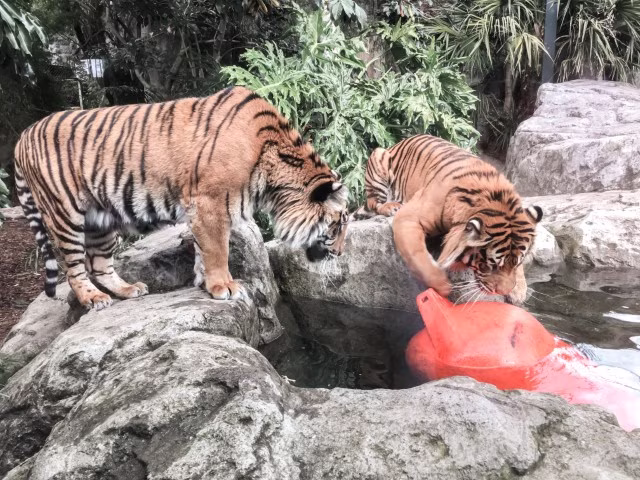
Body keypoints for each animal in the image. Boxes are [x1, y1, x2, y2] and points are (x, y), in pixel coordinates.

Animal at [14, 86, 349, 310]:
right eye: (337, 226)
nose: (340, 254)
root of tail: (22, 135)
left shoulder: (204, 209)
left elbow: (203, 250)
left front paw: (205, 283)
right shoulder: (211, 203)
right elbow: (217, 250)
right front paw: (224, 286)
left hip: (102, 219)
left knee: (99, 264)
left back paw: (128, 290)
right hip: (66, 215)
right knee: (73, 268)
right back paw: (94, 298)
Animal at [360, 134, 542, 305]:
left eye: (517, 262)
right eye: (491, 266)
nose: (503, 292)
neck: (492, 198)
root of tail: (398, 143)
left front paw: (519, 290)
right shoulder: (408, 217)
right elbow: (418, 255)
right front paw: (442, 285)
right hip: (378, 157)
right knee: (374, 203)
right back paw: (391, 206)